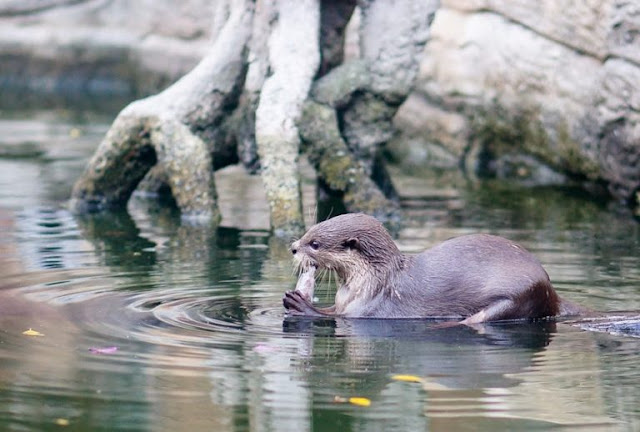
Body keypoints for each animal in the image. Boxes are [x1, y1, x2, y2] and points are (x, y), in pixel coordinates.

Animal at [282, 213, 588, 324]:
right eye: (309, 231)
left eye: (315, 244)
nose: (294, 247)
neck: (373, 280)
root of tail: (552, 292)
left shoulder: (373, 306)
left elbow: (338, 317)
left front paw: (299, 303)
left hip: (522, 294)